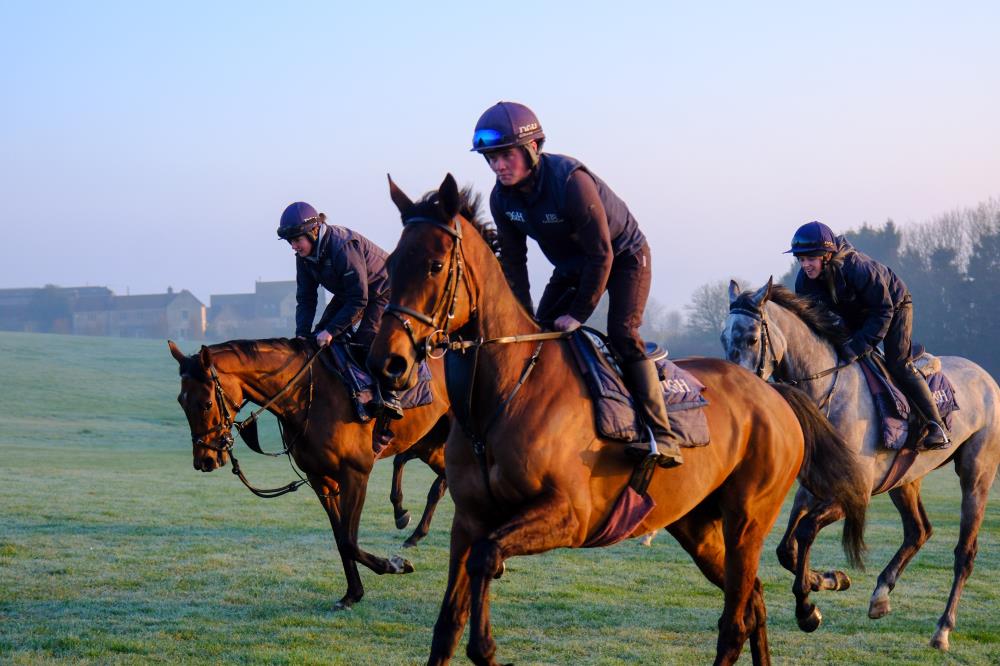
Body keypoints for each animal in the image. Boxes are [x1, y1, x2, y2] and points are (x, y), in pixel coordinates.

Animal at [167, 336, 451, 609]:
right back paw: (409, 522)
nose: (205, 460)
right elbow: (340, 538)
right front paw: (353, 593)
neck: (307, 398)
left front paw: (396, 565)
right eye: (181, 401)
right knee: (437, 479)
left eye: (206, 404)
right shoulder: (321, 481)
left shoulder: (355, 474)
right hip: (430, 445)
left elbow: (348, 540)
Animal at [368, 173, 869, 666]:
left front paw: (486, 645)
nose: (388, 362)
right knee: (754, 601)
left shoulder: (571, 515)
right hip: (697, 525)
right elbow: (447, 625)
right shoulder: (469, 520)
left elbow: (486, 562)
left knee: (735, 621)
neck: (504, 394)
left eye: (434, 265)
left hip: (748, 520)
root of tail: (772, 391)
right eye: (391, 265)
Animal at [722, 279, 1000, 651]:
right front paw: (828, 579)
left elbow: (805, 531)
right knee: (918, 530)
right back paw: (881, 595)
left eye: (752, 338)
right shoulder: (813, 487)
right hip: (905, 480)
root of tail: (987, 379)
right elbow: (786, 549)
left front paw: (807, 607)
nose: (738, 390)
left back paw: (942, 629)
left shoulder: (854, 492)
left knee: (964, 553)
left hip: (976, 475)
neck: (826, 393)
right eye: (723, 337)